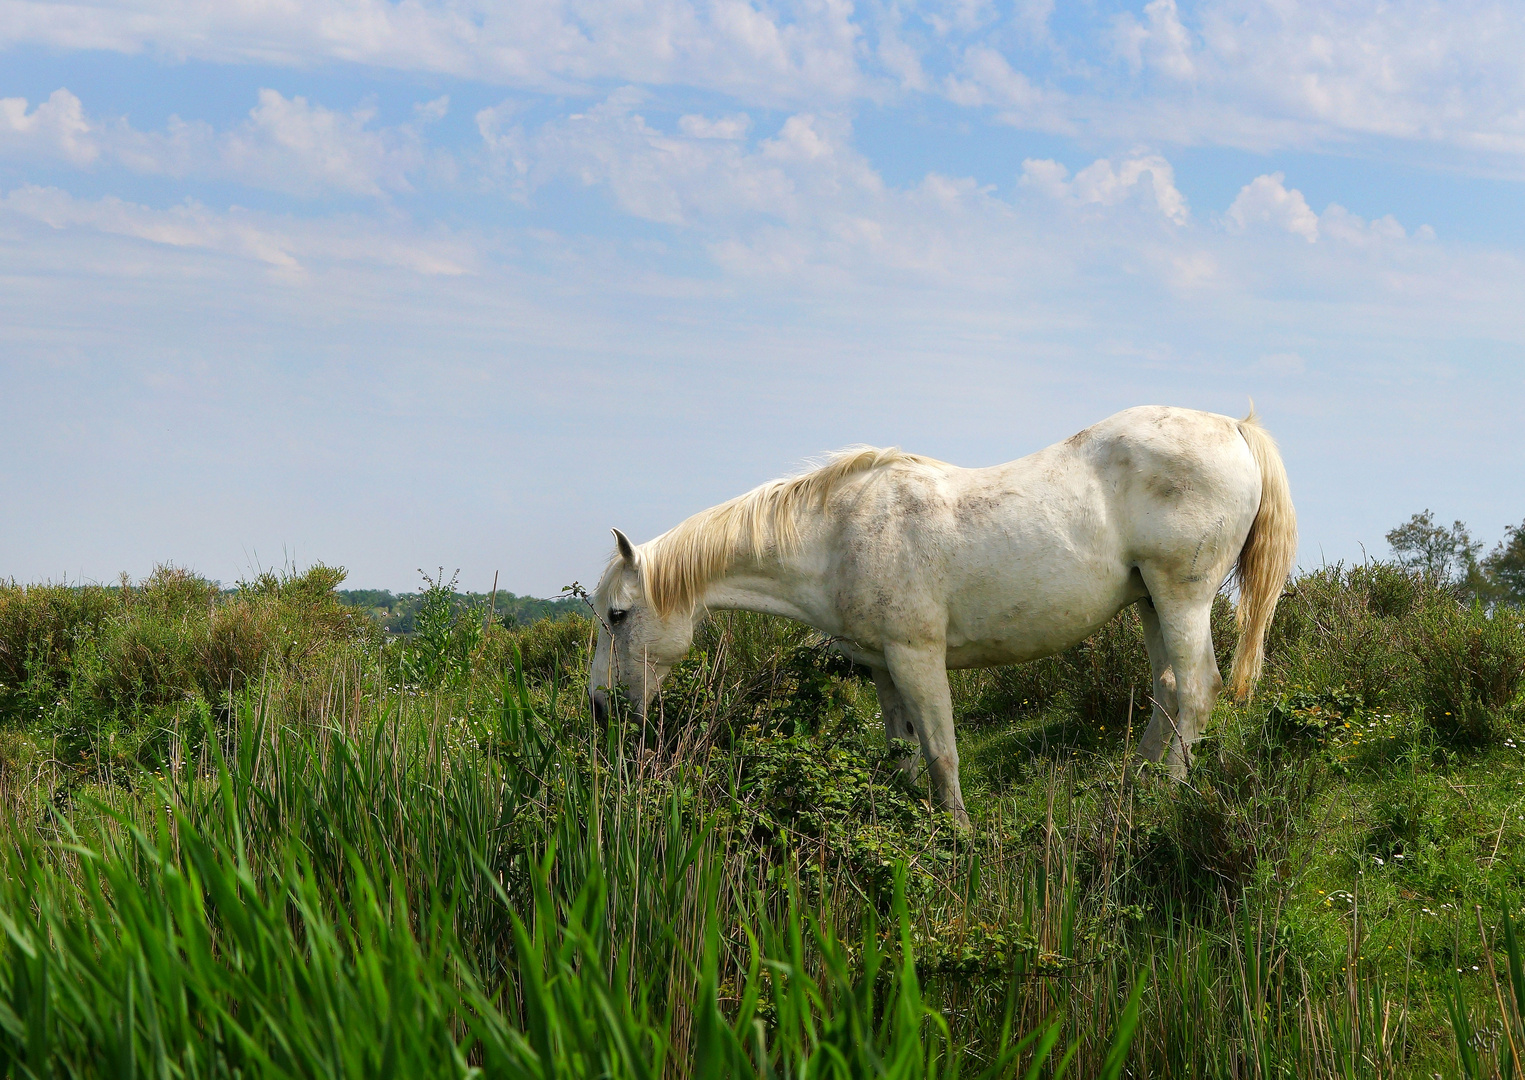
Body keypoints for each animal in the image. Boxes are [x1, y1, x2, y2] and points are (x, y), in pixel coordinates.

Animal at [588, 405, 1293, 829]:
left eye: (617, 616)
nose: (600, 709)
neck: (838, 533)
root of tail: (1233, 427)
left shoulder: (917, 656)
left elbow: (941, 751)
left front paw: (957, 830)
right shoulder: (882, 667)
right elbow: (903, 748)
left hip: (1182, 597)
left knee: (1196, 689)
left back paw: (1167, 795)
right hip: (1150, 602)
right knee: (1168, 689)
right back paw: (1134, 784)